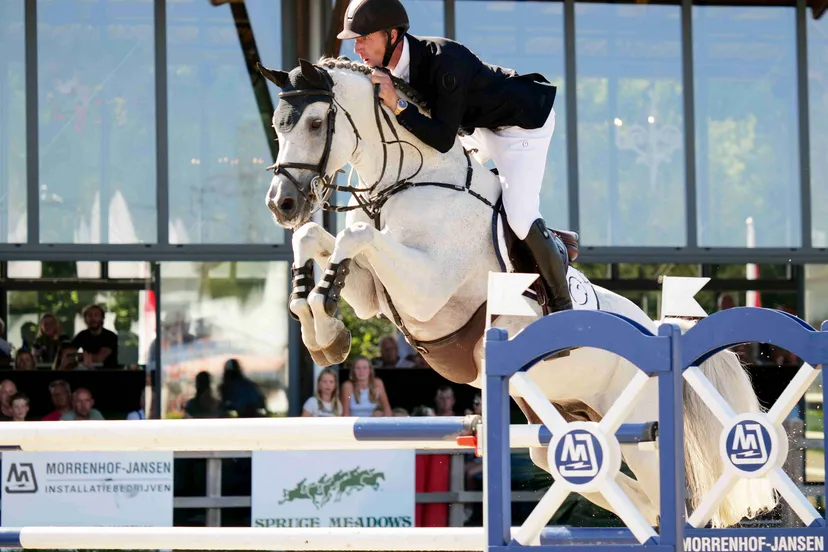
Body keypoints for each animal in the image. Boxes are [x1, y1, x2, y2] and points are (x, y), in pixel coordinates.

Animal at [258, 58, 776, 528]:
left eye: (316, 123)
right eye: (278, 125)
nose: (282, 203)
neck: (410, 182)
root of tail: (658, 330)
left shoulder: (426, 288)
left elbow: (353, 237)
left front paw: (323, 317)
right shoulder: (376, 293)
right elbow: (314, 238)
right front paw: (322, 330)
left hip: (639, 428)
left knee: (660, 491)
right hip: (566, 413)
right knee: (583, 467)